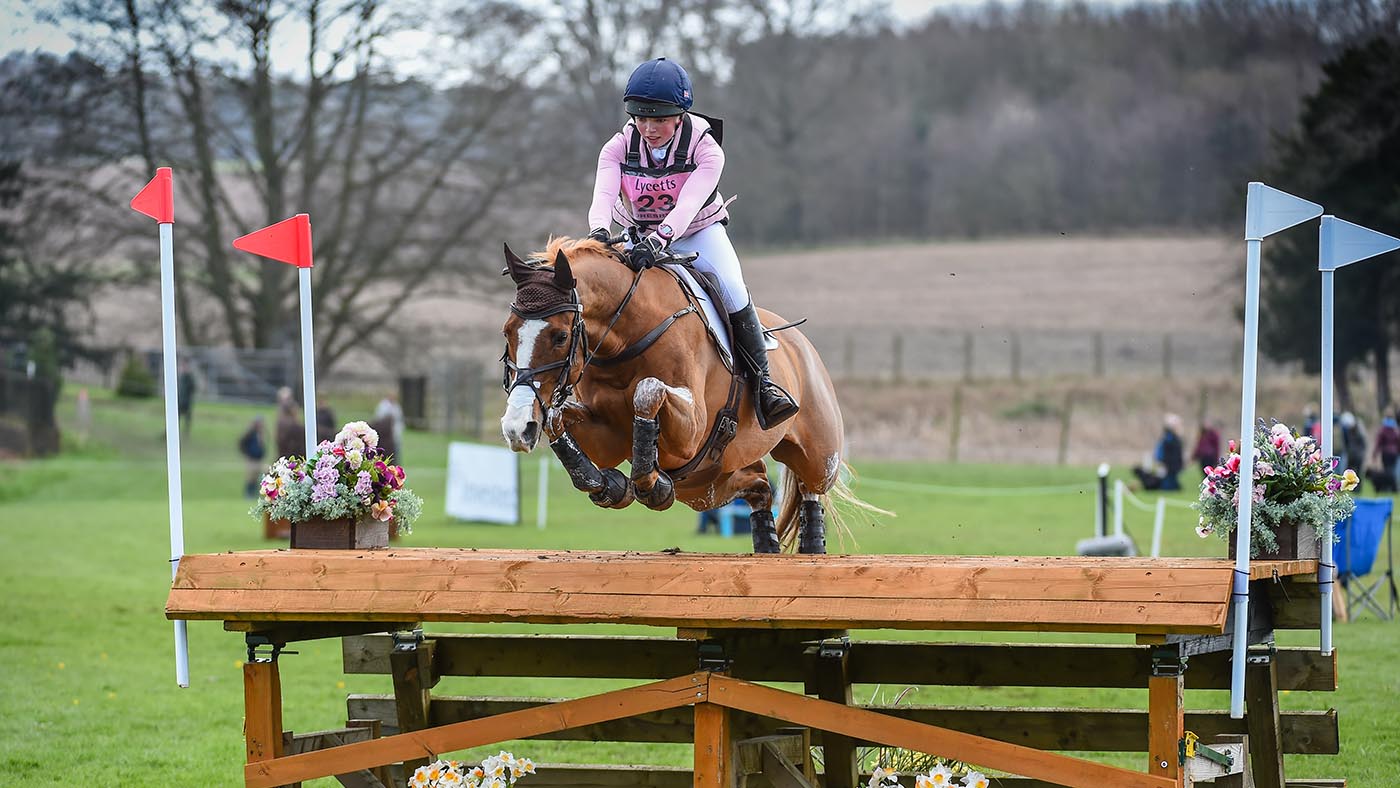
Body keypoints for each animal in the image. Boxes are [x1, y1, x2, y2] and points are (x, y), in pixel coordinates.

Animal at [498, 236, 863, 553]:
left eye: (560, 336)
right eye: (508, 332)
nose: (516, 428)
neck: (627, 339)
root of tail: (802, 346)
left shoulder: (691, 430)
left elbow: (646, 391)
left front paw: (649, 483)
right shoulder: (605, 436)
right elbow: (558, 419)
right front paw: (610, 485)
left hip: (818, 457)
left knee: (810, 492)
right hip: (709, 485)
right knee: (759, 487)